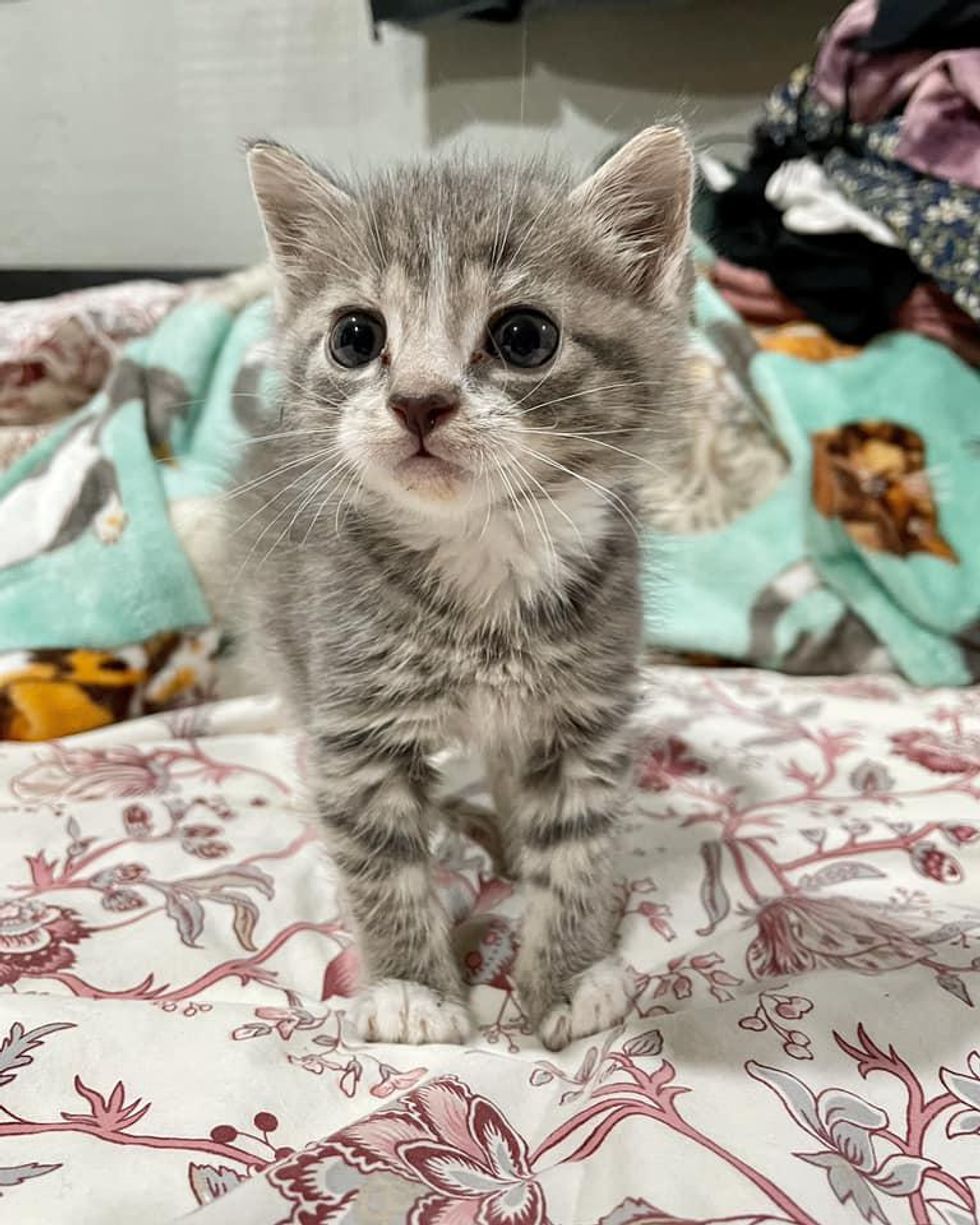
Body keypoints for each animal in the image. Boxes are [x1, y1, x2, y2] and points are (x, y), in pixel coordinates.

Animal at [235, 126, 695, 1053]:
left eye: (524, 336)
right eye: (355, 335)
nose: (419, 401)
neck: (484, 558)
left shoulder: (584, 715)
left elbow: (578, 849)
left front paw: (567, 973)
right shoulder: (355, 720)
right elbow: (379, 859)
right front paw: (413, 987)